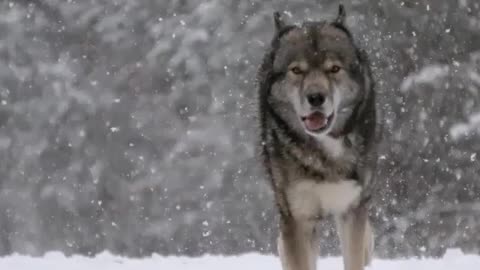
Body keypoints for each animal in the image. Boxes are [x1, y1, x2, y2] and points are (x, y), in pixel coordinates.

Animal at [256, 4, 380, 270]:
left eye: (333, 69)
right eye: (296, 70)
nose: (316, 97)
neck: (325, 154)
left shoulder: (351, 210)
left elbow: (354, 258)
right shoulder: (297, 219)